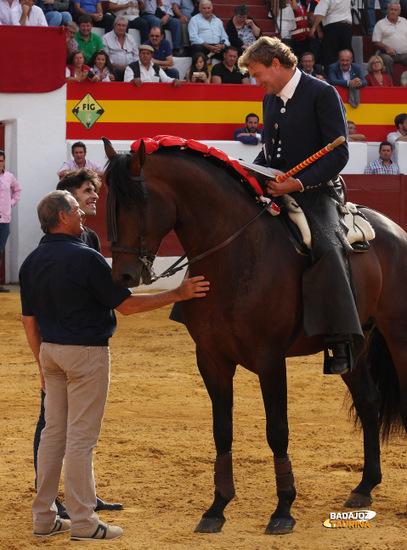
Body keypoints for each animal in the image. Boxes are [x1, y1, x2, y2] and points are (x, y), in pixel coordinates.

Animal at [101, 136, 407, 536]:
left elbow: (277, 429)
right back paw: (364, 487)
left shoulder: (270, 358)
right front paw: (217, 508)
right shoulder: (211, 358)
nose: (123, 276)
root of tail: (394, 230)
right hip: (356, 340)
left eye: (138, 201)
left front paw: (283, 509)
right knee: (368, 401)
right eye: (107, 201)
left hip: (398, 333)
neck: (233, 252)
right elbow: (222, 430)